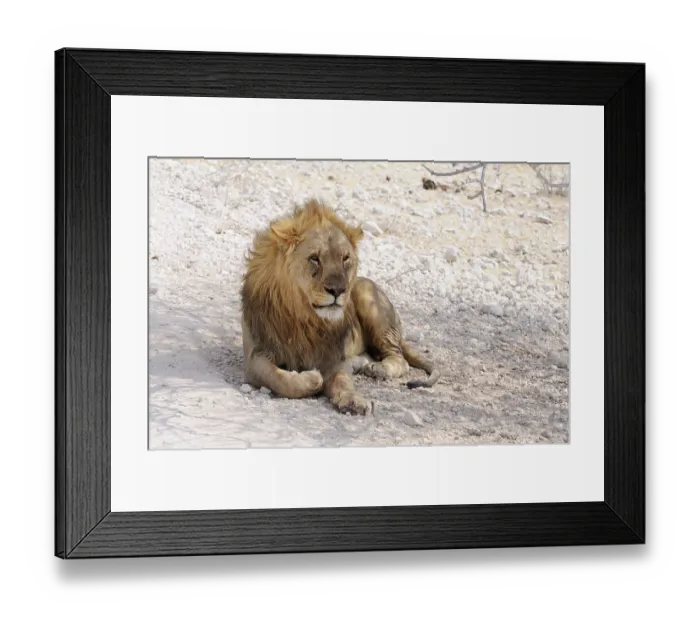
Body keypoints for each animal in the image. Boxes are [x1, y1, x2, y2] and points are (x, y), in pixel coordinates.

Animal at [240, 199, 439, 416]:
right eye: (314, 258)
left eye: (345, 258)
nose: (338, 290)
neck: (303, 318)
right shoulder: (255, 356)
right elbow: (279, 379)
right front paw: (312, 378)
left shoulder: (333, 358)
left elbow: (342, 380)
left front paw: (353, 400)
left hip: (367, 296)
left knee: (399, 357)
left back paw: (379, 369)